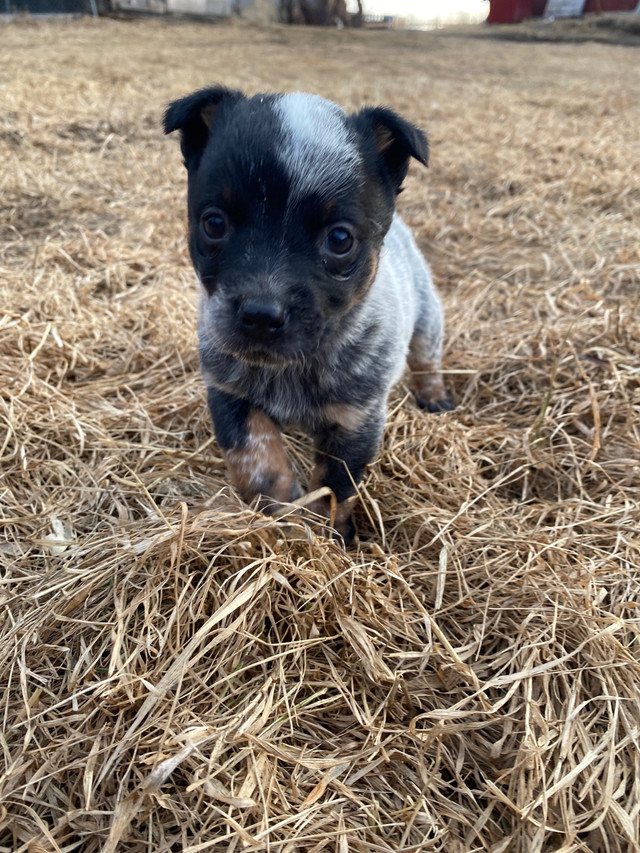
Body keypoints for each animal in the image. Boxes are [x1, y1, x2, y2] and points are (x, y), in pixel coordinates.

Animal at [165, 85, 456, 540]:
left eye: (339, 239)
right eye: (213, 223)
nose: (260, 315)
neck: (291, 369)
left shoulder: (357, 421)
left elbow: (335, 487)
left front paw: (328, 535)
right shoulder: (230, 395)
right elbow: (257, 464)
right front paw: (282, 512)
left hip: (428, 318)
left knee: (428, 360)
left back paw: (434, 398)